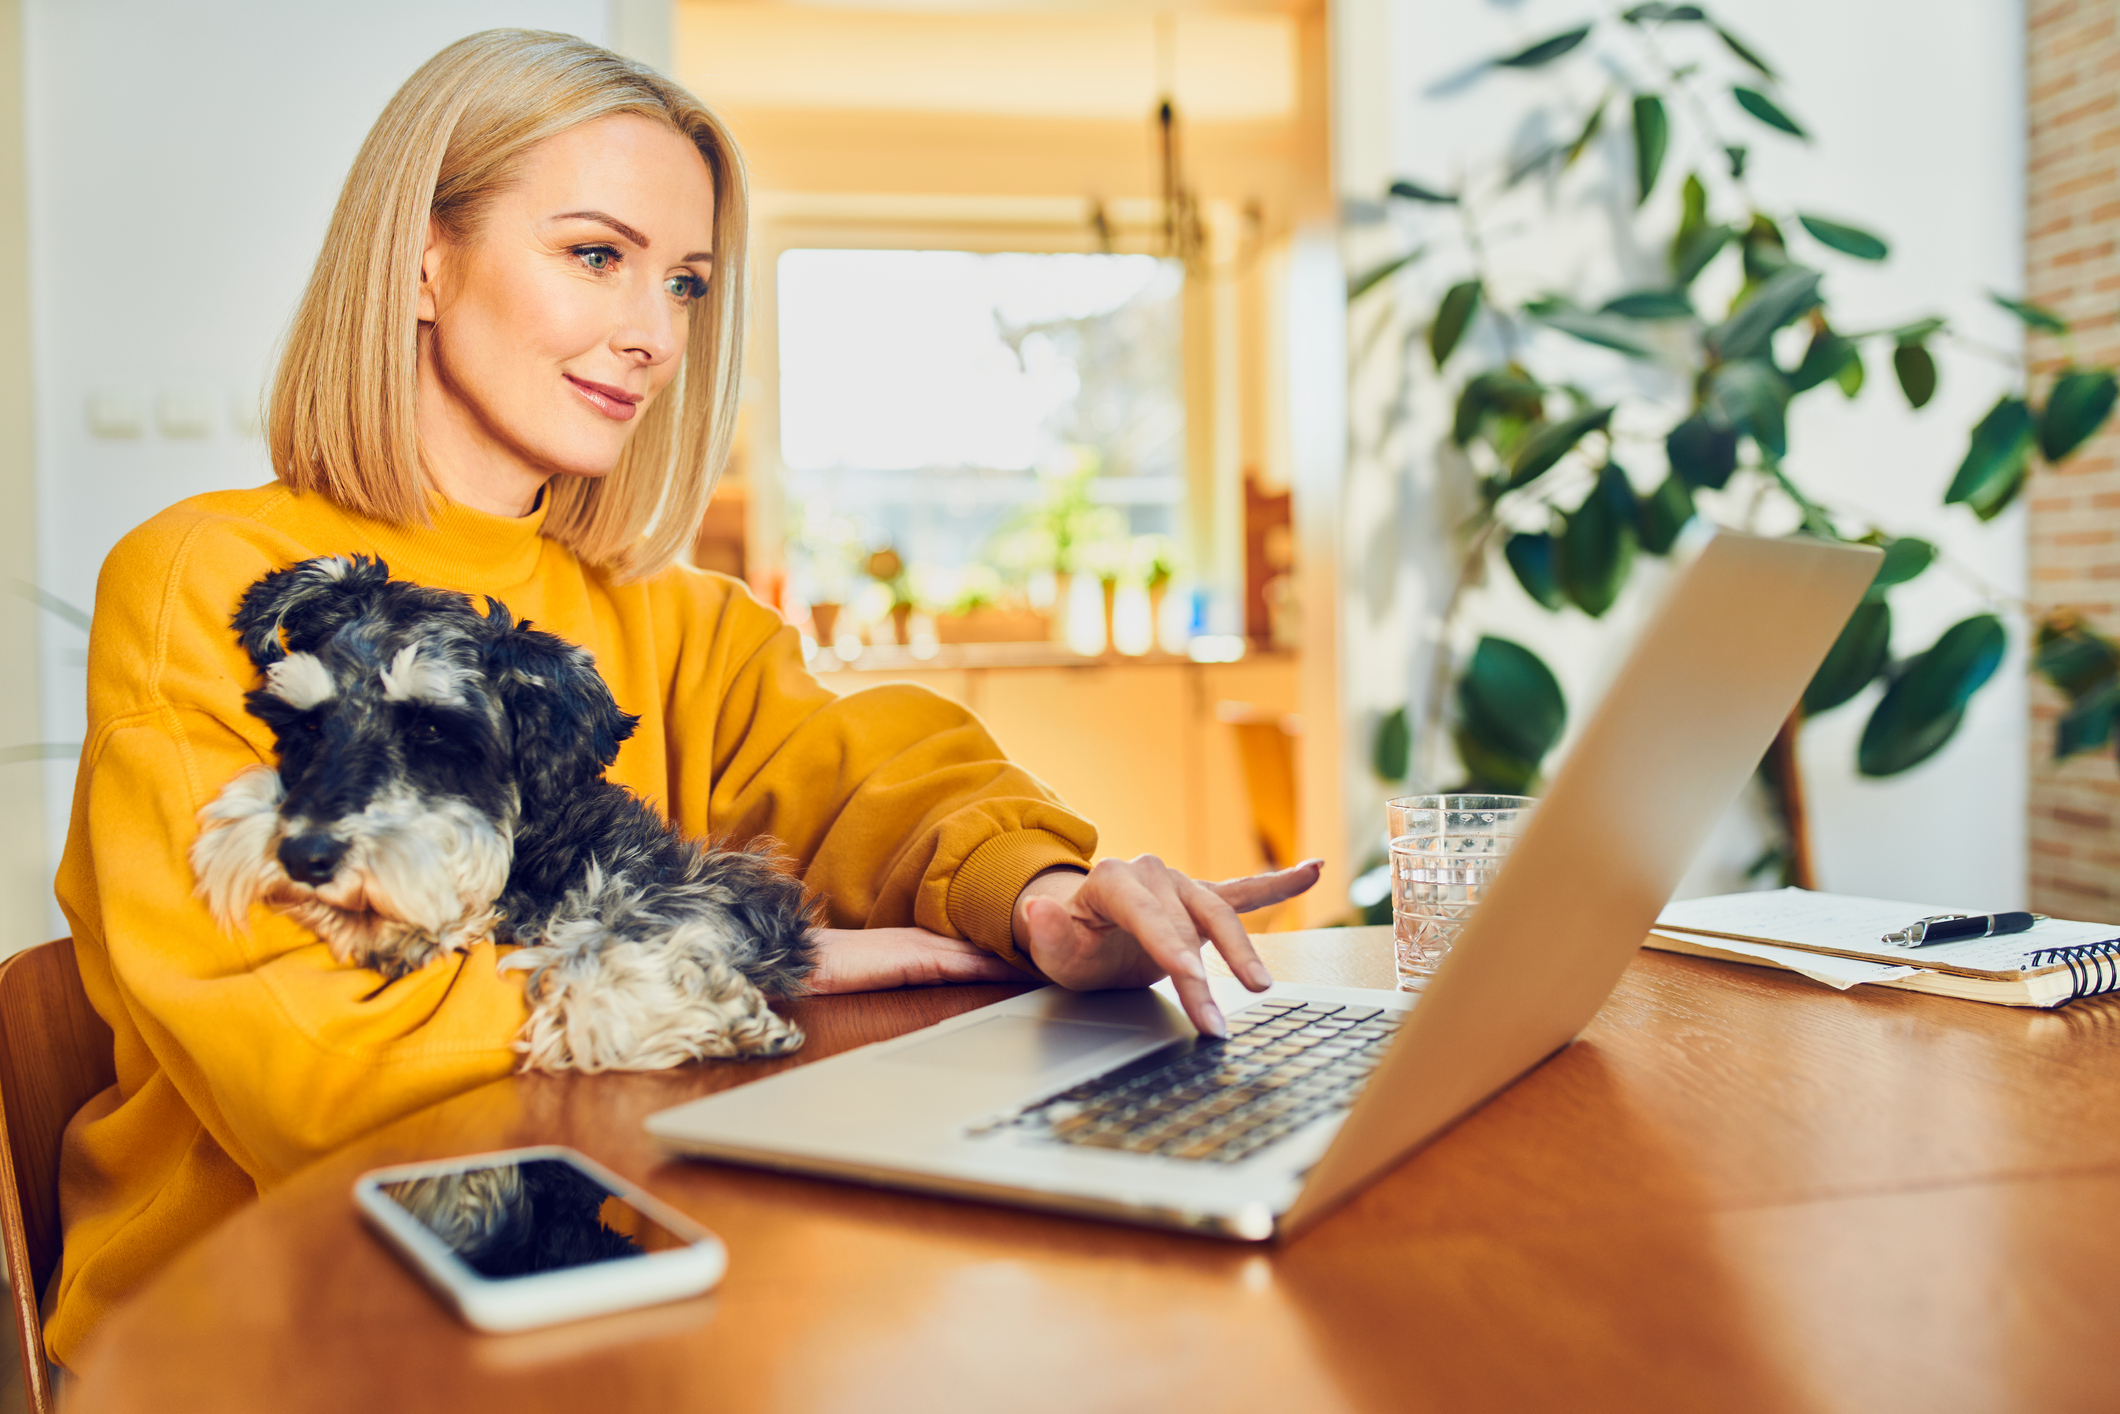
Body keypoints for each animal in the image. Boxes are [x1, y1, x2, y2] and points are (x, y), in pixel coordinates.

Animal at [186, 551, 814, 1072]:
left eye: (430, 728)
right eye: (309, 725)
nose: (303, 855)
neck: (527, 847)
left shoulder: (718, 891)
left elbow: (603, 941)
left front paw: (712, 1019)